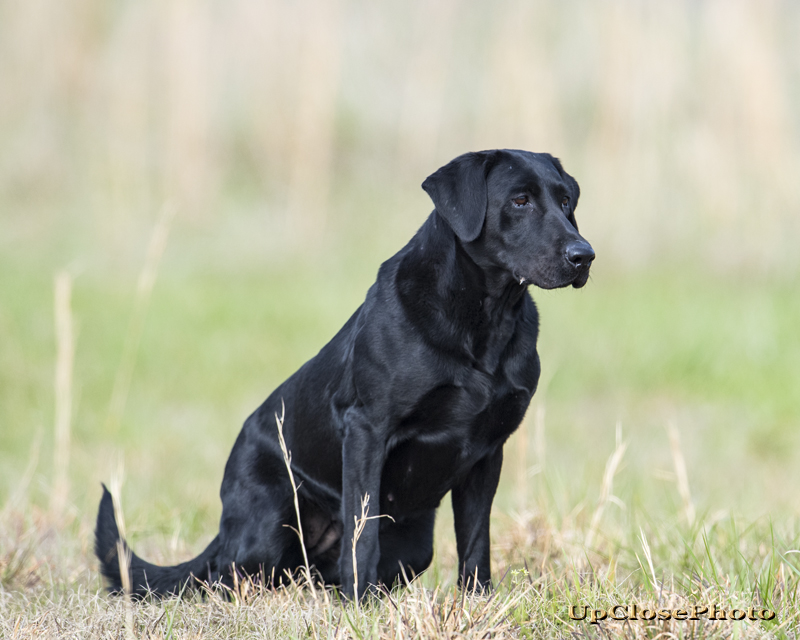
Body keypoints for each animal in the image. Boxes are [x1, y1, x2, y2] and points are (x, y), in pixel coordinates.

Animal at [95, 149, 592, 600]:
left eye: (566, 200)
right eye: (520, 200)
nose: (583, 255)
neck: (484, 321)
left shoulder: (488, 451)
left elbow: (475, 540)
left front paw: (476, 602)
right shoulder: (367, 429)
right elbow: (362, 528)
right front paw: (359, 606)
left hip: (413, 547)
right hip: (269, 529)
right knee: (225, 576)